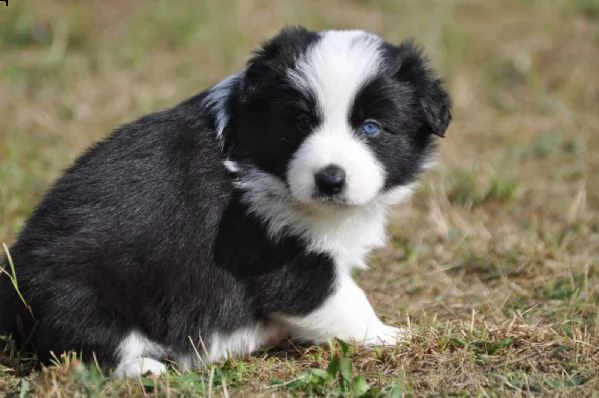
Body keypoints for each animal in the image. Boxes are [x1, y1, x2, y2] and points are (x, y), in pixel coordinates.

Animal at [0, 27, 450, 376]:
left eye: (372, 128)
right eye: (300, 122)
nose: (330, 178)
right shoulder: (273, 251)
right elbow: (341, 298)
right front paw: (389, 335)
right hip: (76, 291)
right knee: (86, 347)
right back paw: (146, 369)